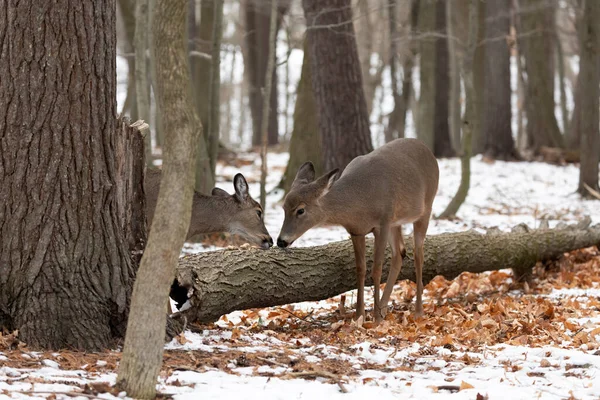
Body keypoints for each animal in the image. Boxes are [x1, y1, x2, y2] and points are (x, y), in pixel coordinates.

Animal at [278, 139, 440, 324]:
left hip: (425, 209)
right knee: (399, 253)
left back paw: (417, 311)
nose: (281, 241)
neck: (360, 200)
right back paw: (384, 307)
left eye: (300, 210)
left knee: (418, 254)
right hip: (396, 222)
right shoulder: (357, 231)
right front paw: (360, 315)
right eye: (283, 208)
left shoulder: (382, 223)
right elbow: (360, 269)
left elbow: (376, 269)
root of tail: (428, 151)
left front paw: (375, 319)